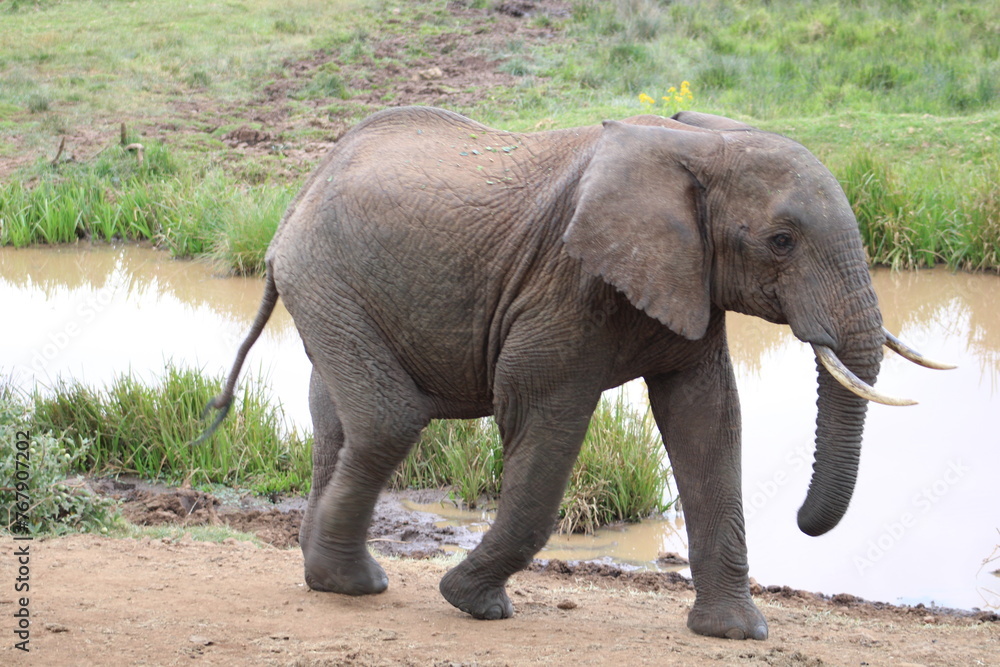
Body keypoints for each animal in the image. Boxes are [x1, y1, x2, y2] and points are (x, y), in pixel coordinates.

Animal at [201, 106, 951, 640]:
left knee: (338, 421)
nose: (803, 520)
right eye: (781, 241)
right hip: (324, 277)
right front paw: (473, 603)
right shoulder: (564, 284)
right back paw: (353, 585)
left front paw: (736, 633)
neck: (699, 146)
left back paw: (323, 574)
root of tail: (307, 182)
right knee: (389, 420)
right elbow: (543, 416)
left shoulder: (689, 281)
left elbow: (708, 420)